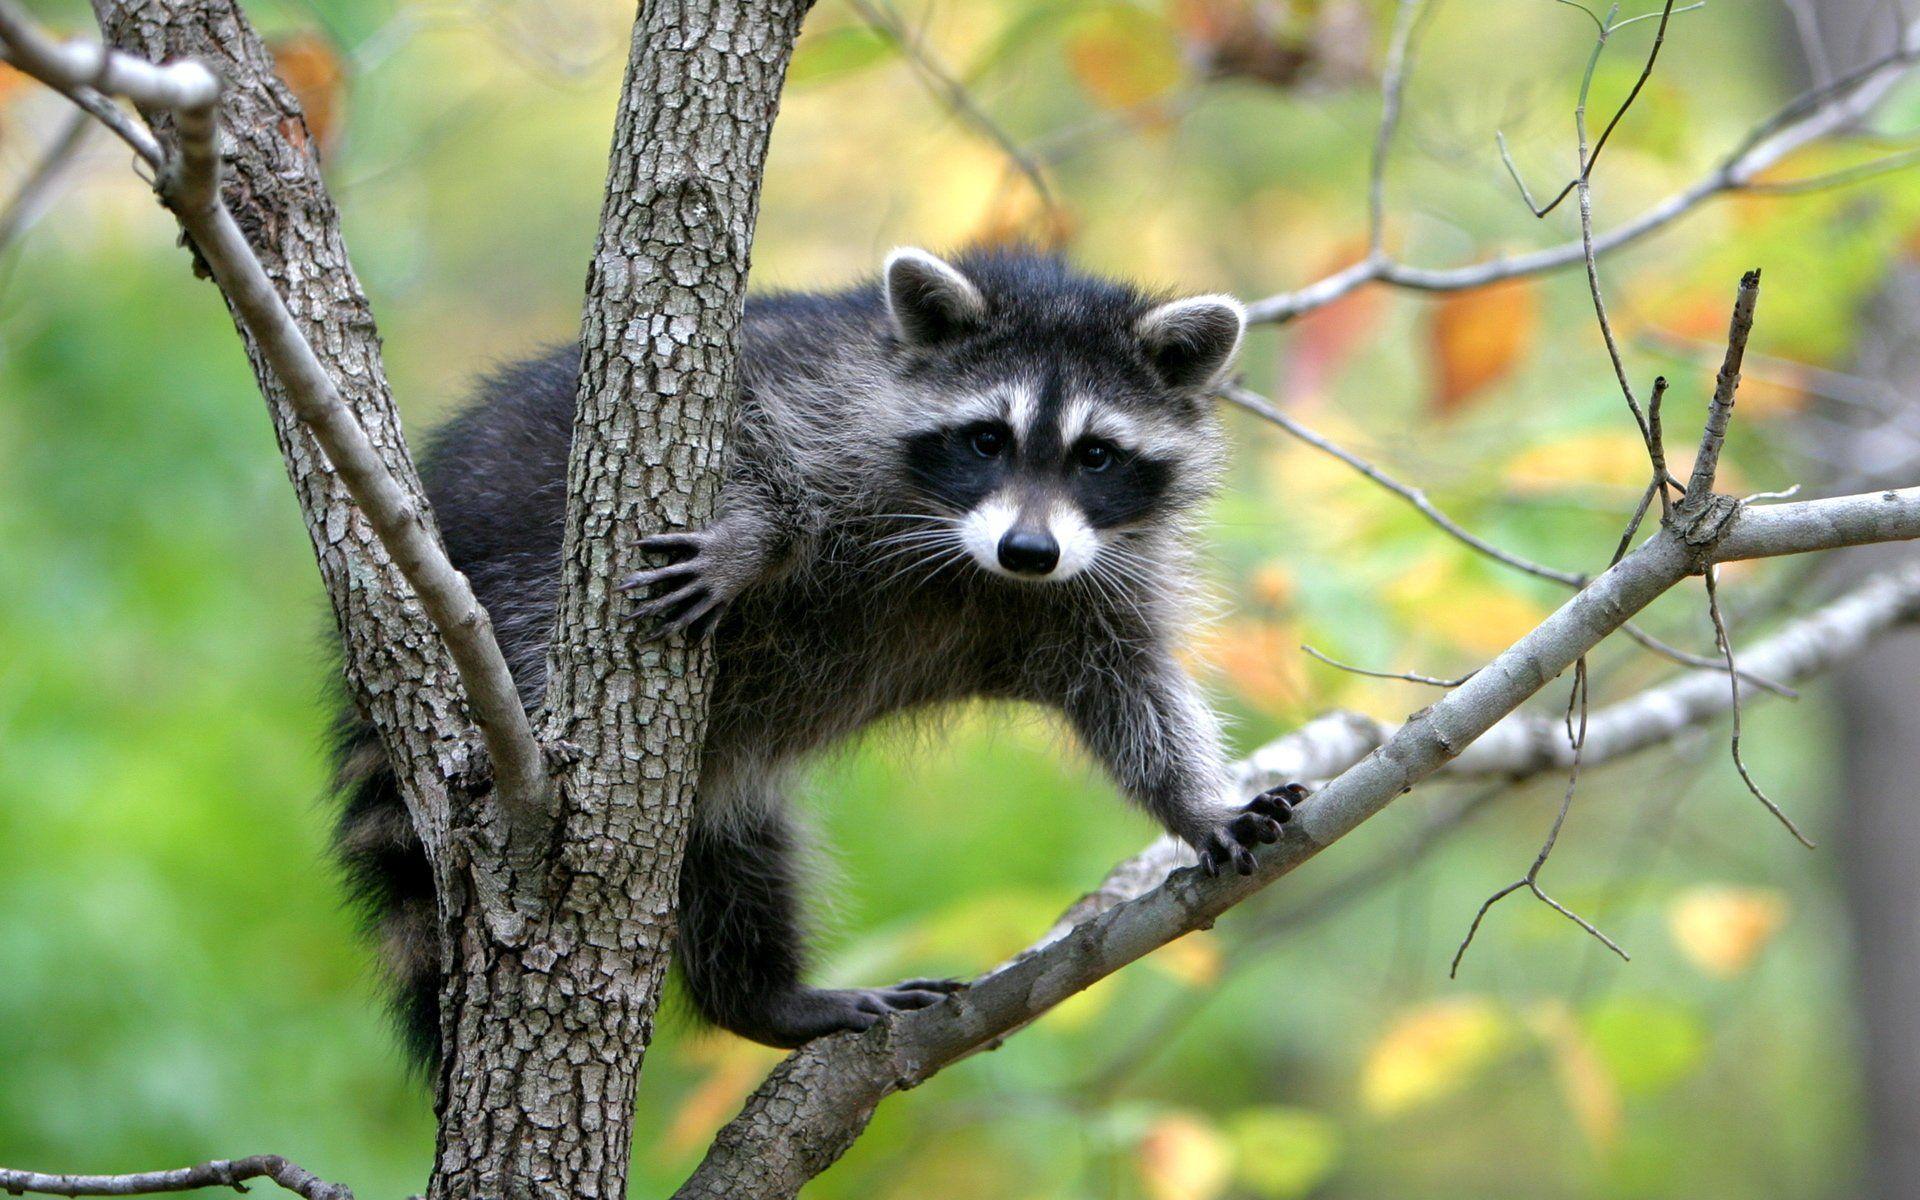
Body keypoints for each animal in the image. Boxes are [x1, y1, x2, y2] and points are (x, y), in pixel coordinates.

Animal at [332, 246, 1305, 1061]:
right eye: (987, 438)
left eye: (1097, 455)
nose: (1029, 551)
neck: (973, 563)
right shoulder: (817, 396)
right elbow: (756, 446)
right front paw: (749, 538)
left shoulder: (1095, 583)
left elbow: (1131, 694)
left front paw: (1198, 805)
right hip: (520, 589)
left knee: (733, 854)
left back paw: (760, 997)